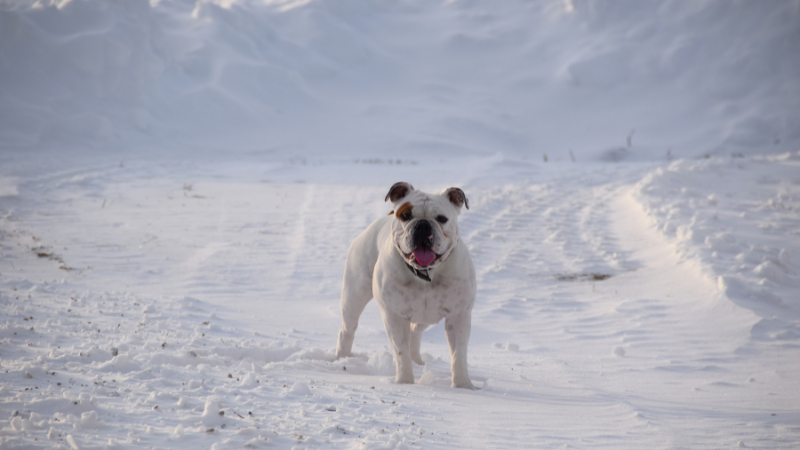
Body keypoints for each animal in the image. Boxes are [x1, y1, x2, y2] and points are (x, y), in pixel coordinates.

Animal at [336, 181, 478, 388]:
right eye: (406, 216)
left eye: (442, 219)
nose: (423, 225)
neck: (425, 273)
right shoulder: (394, 316)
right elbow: (400, 350)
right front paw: (405, 382)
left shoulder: (459, 315)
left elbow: (458, 353)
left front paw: (463, 386)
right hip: (354, 296)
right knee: (347, 329)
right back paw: (342, 359)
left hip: (426, 317)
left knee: (415, 333)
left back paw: (417, 361)